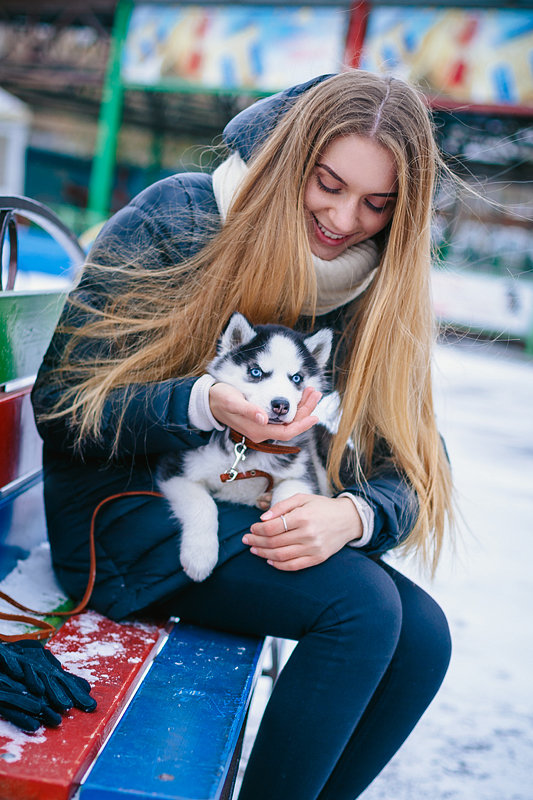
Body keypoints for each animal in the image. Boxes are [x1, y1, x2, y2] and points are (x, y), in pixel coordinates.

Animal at [158, 312, 332, 580]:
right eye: (256, 371)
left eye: (297, 378)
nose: (281, 404)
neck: (250, 447)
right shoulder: (175, 469)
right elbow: (203, 504)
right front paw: (199, 556)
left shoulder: (303, 473)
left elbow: (288, 498)